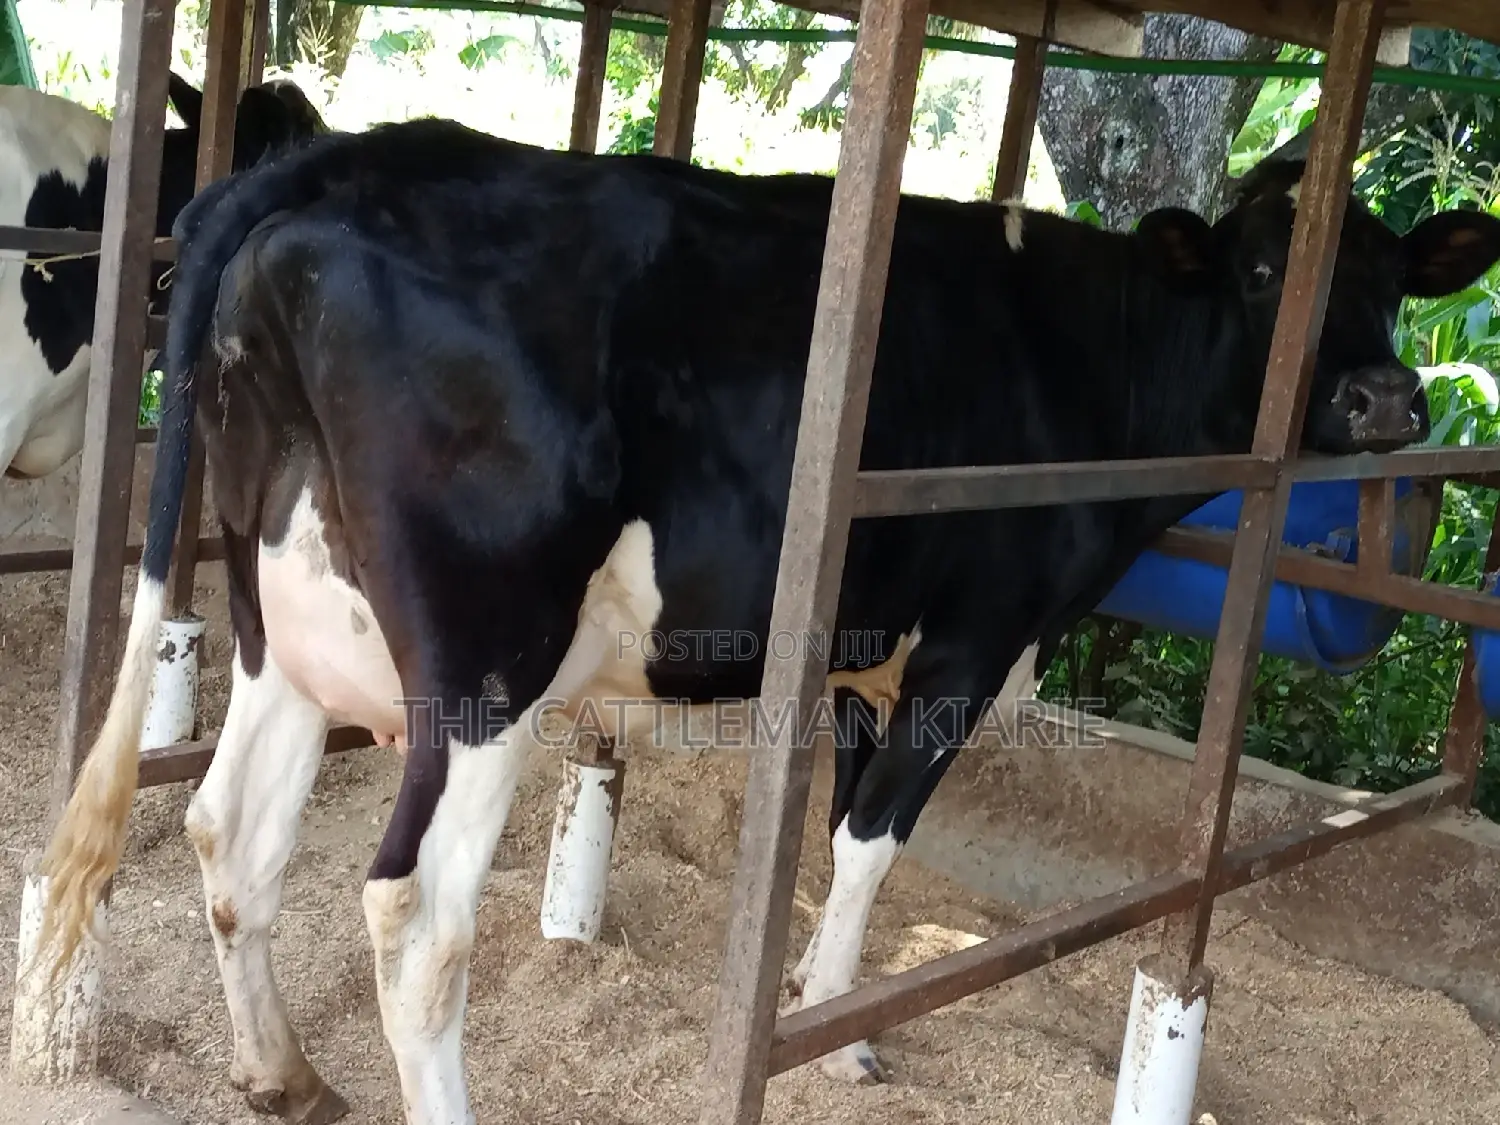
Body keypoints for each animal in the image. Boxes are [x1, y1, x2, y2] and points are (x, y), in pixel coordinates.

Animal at [34, 115, 1500, 1125]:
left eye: (1397, 279)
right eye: (1263, 271)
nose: (1386, 401)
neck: (1072, 353)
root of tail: (349, 158)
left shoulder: (863, 647)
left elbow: (841, 826)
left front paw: (812, 994)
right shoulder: (973, 639)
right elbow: (873, 839)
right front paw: (840, 1030)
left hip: (281, 620)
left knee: (232, 832)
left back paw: (283, 1075)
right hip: (489, 669)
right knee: (416, 915)